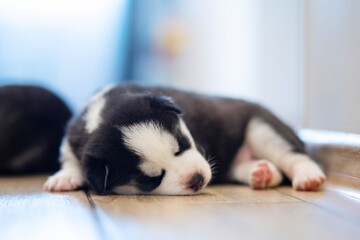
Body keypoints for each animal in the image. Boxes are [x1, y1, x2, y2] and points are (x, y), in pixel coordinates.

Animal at [43, 84, 324, 195]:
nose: (197, 179)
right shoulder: (72, 138)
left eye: (181, 144)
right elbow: (71, 159)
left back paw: (308, 176)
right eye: (152, 180)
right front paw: (65, 177)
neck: (101, 115)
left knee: (293, 155)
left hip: (262, 129)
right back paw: (261, 173)